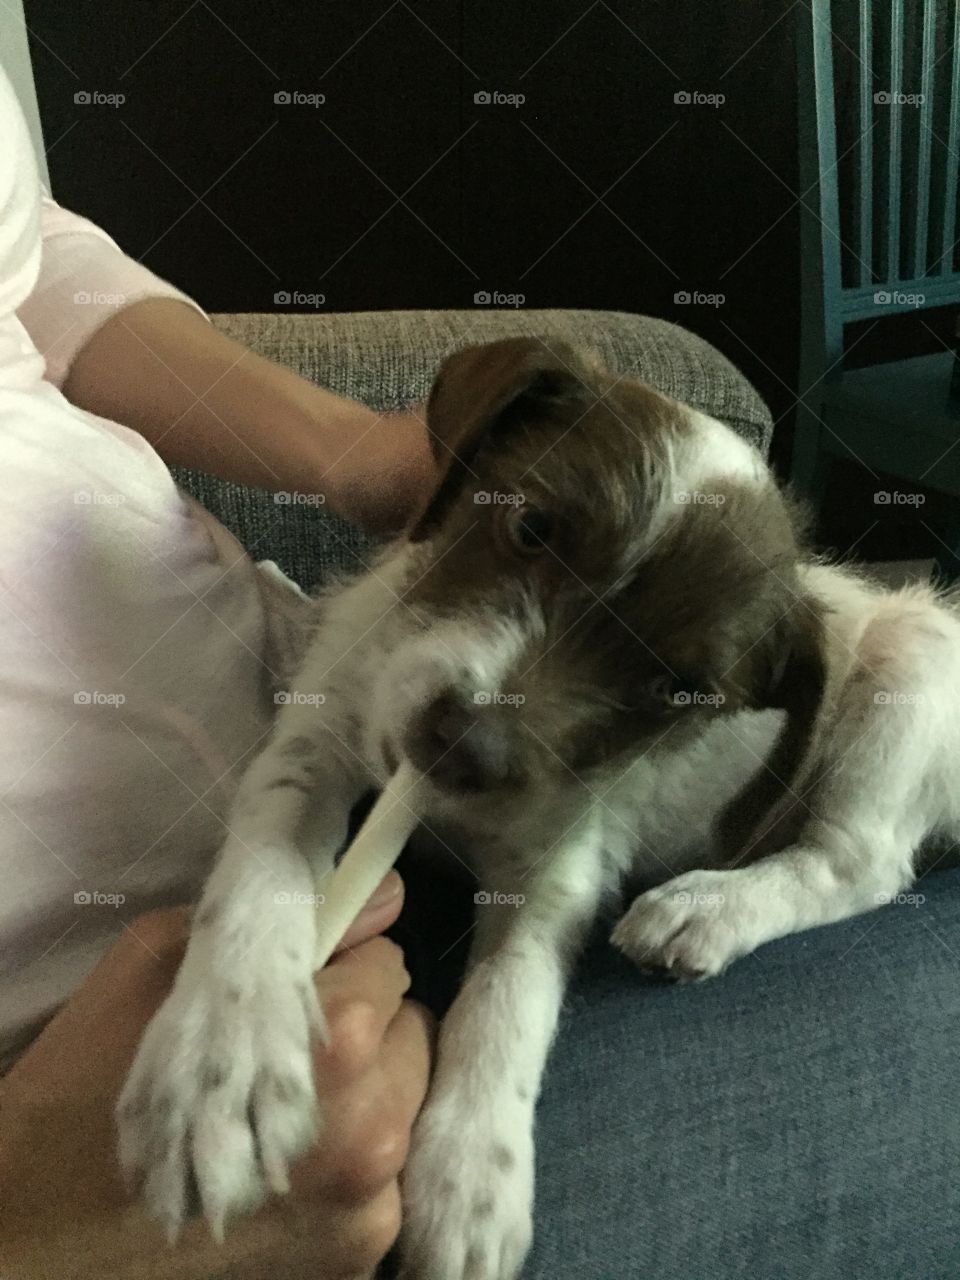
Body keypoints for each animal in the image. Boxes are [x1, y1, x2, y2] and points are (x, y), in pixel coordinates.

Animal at [118, 335, 960, 1274]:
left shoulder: (557, 870)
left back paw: (705, 911)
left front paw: (470, 1180)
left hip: (914, 655)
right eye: (527, 529)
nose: (464, 749)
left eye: (676, 691)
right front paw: (220, 1056)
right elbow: (258, 877)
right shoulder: (317, 739)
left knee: (861, 862)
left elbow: (505, 1006)